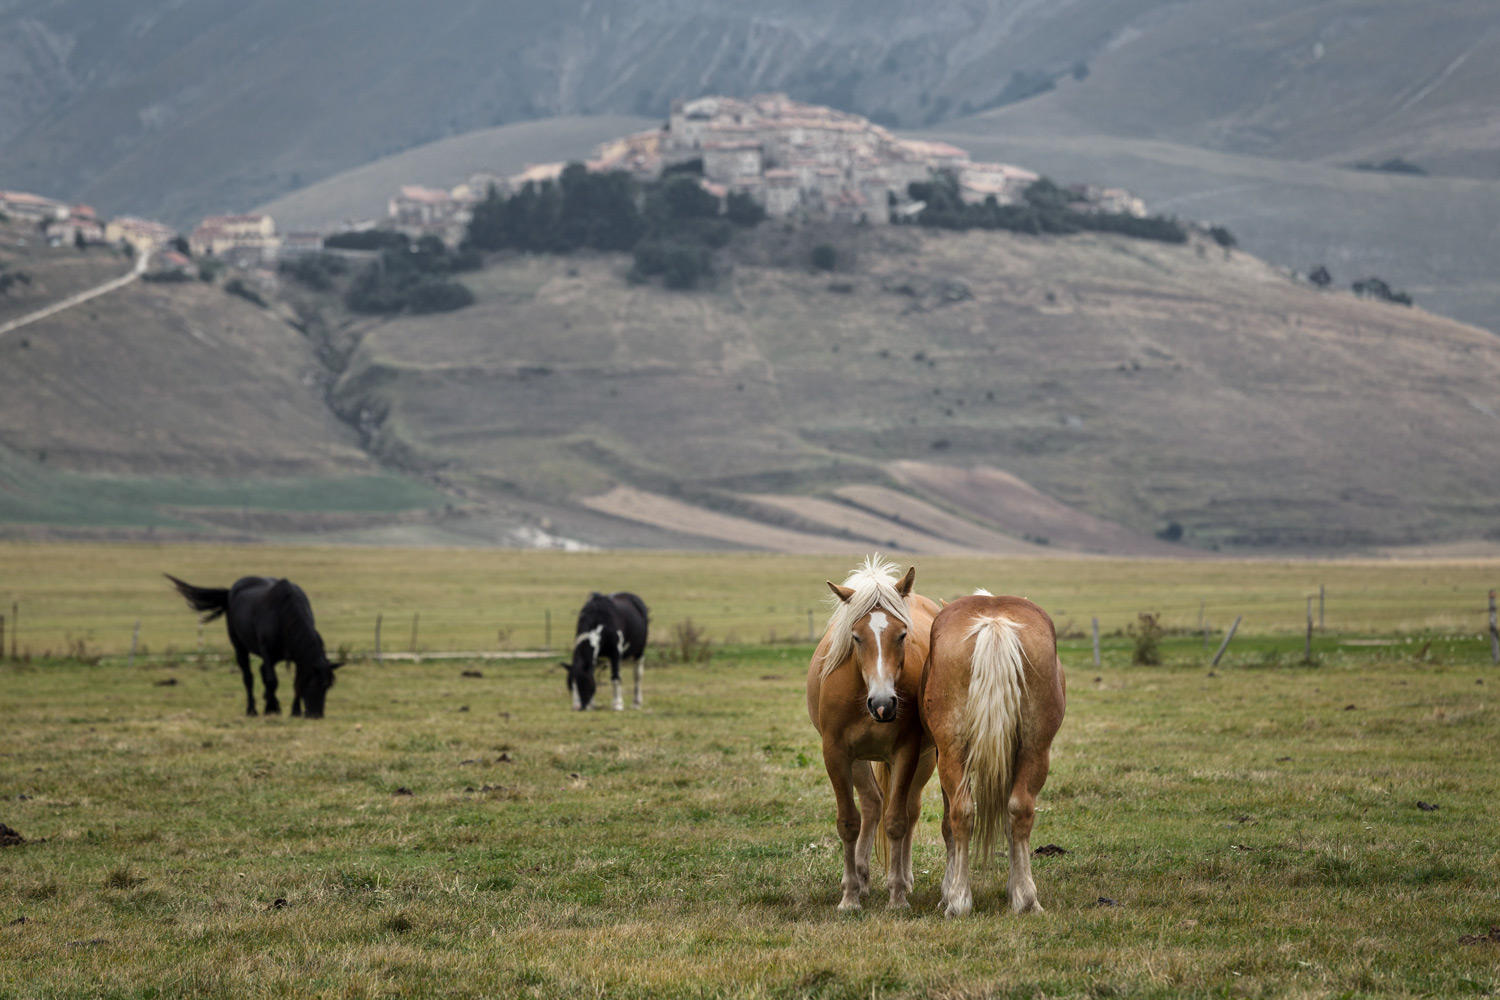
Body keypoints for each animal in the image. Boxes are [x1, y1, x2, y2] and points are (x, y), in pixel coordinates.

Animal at [165, 575, 342, 716]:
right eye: (314, 683)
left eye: (327, 686)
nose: (316, 714)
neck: (283, 614)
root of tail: (230, 591)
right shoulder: (267, 652)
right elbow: (272, 680)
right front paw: (270, 708)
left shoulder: (299, 656)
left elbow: (295, 681)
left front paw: (294, 711)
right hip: (240, 648)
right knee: (249, 677)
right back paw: (252, 709)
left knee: (262, 671)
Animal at [810, 560, 936, 911]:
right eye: (855, 637)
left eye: (903, 635)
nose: (883, 704)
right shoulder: (836, 753)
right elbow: (848, 822)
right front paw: (850, 897)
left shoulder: (907, 751)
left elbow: (897, 821)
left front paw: (898, 896)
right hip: (859, 760)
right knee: (871, 804)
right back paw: (863, 878)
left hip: (927, 758)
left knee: (909, 808)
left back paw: (904, 878)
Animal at [912, 590, 1068, 917]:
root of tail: (995, 622)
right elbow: (1011, 822)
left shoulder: (942, 754)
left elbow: (948, 824)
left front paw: (947, 892)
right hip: (1035, 749)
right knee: (1020, 810)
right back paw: (1026, 899)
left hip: (952, 753)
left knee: (961, 813)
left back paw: (958, 899)